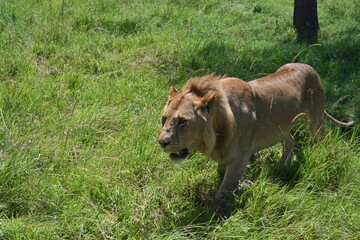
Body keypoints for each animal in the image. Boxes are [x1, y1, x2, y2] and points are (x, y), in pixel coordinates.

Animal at [158, 62, 354, 209]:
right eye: (164, 119)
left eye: (182, 121)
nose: (161, 142)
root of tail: (307, 65)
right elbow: (222, 173)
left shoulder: (241, 157)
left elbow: (223, 193)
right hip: (281, 127)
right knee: (290, 141)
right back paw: (281, 167)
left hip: (316, 118)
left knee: (319, 140)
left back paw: (317, 159)